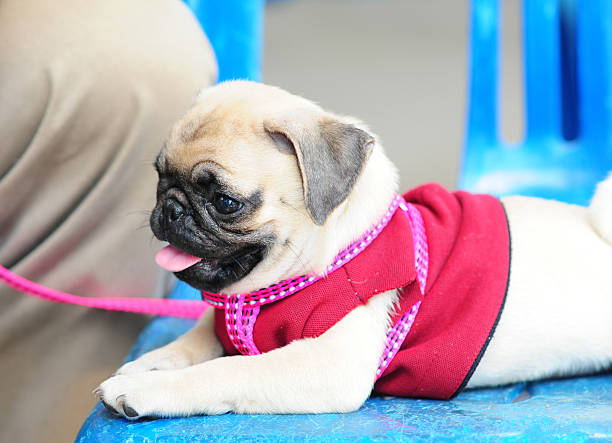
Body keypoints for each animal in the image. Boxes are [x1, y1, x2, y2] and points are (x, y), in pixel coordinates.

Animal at [97, 80, 612, 420]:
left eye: (225, 202)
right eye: (159, 177)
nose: (170, 208)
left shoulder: (328, 365)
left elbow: (225, 371)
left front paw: (148, 388)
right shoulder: (222, 324)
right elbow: (194, 342)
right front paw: (147, 365)